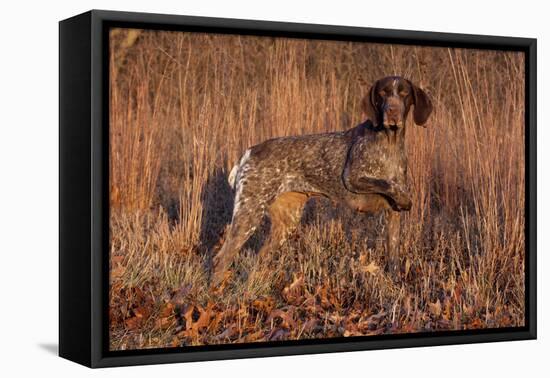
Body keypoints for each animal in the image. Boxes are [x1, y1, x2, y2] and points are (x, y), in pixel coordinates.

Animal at [213, 76, 434, 286]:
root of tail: (249, 152)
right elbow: (388, 184)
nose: (392, 111)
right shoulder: (352, 177)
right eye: (382, 93)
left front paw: (395, 283)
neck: (390, 143)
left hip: (286, 222)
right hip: (249, 213)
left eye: (404, 94)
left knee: (259, 257)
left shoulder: (392, 215)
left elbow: (393, 257)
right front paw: (405, 198)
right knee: (221, 259)